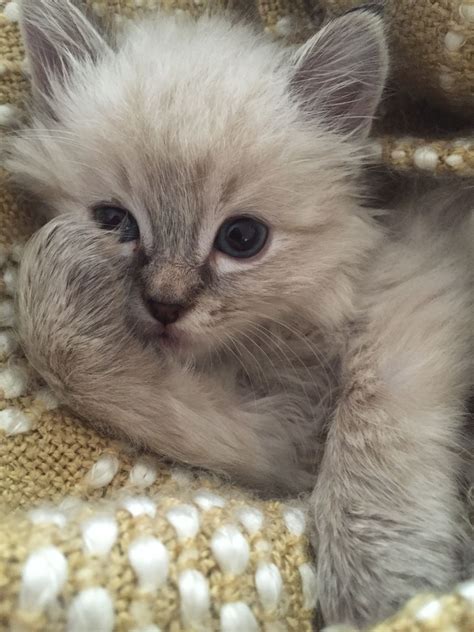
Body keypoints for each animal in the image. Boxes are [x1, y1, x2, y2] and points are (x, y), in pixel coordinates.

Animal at [8, 0, 474, 624]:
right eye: (114, 222)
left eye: (242, 238)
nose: (165, 304)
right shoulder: (283, 429)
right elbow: (147, 402)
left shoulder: (420, 278)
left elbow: (374, 414)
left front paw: (379, 579)